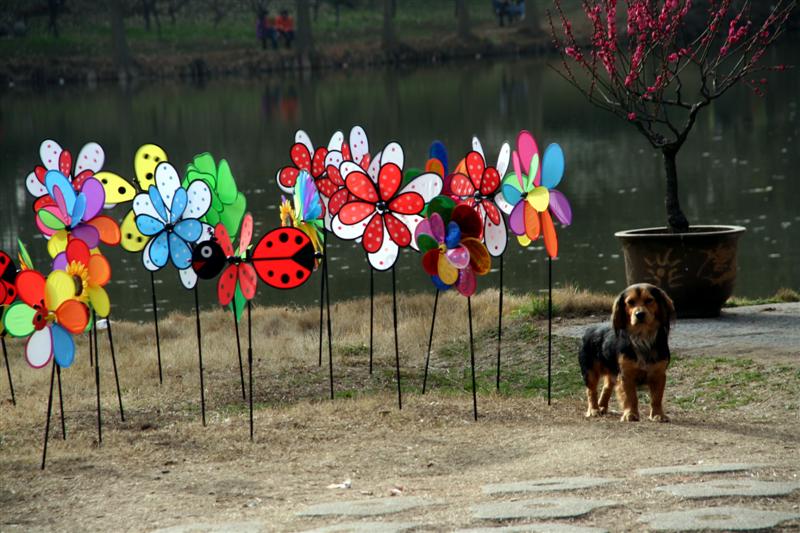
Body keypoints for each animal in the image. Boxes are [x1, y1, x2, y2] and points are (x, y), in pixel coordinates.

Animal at [580, 282, 676, 420]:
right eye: (630, 302)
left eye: (649, 300)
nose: (639, 314)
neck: (642, 338)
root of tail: (589, 329)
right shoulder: (626, 374)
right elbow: (631, 397)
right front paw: (630, 414)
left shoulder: (659, 374)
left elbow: (656, 398)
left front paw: (658, 415)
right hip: (590, 372)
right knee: (591, 391)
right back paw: (594, 409)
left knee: (606, 387)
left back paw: (602, 406)